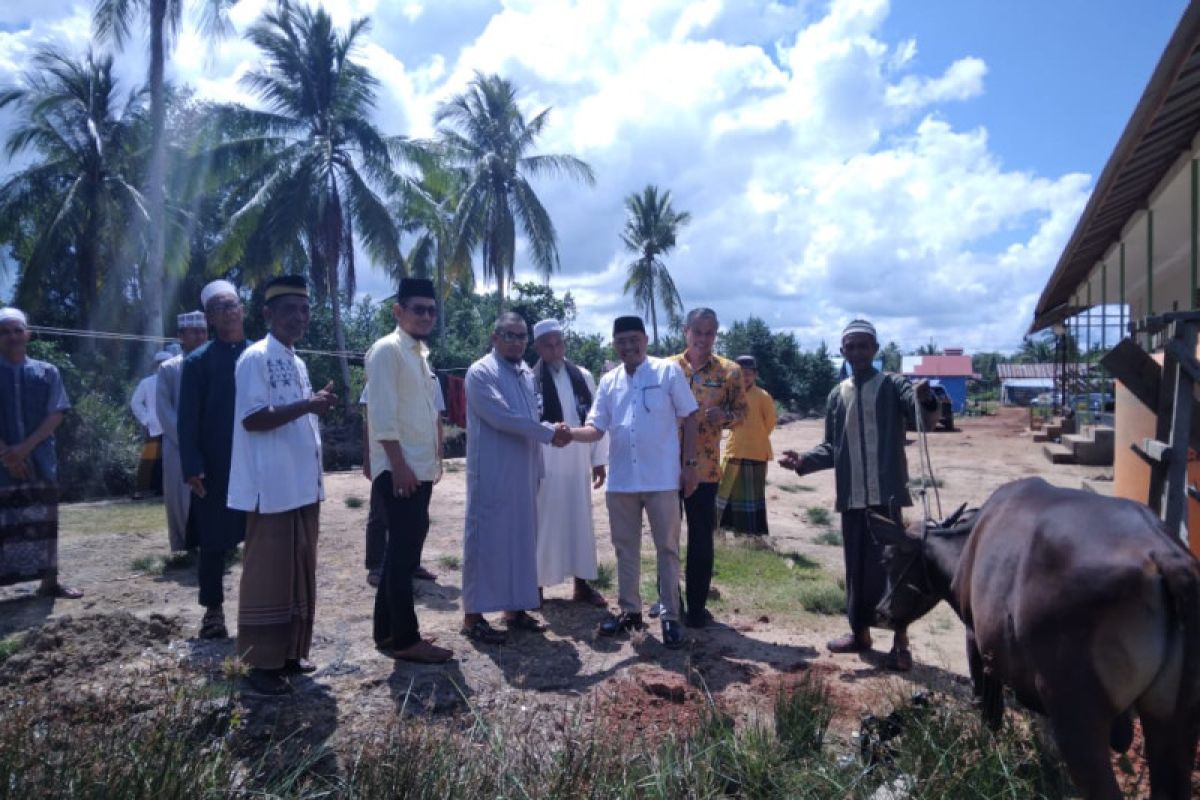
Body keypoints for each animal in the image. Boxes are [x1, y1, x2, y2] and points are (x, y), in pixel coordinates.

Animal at [873, 479, 1200, 796]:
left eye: (889, 558)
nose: (881, 612)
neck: (968, 543)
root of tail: (1166, 555)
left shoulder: (976, 642)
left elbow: (989, 714)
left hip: (1078, 717)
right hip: (1171, 721)